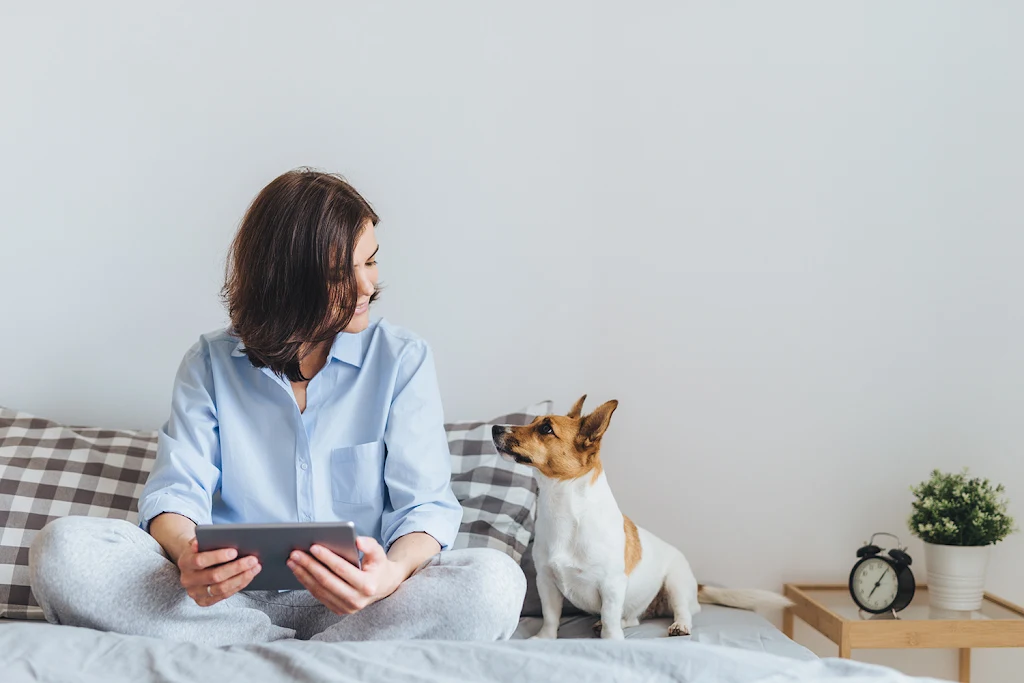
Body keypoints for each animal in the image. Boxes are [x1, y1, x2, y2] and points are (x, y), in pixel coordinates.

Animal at [493, 395, 790, 643]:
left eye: (545, 428)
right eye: (533, 421)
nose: (495, 428)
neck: (564, 509)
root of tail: (695, 584)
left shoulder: (611, 585)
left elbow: (610, 618)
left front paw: (611, 640)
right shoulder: (546, 582)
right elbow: (551, 616)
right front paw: (544, 638)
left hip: (676, 583)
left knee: (682, 611)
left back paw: (679, 626)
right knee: (632, 618)